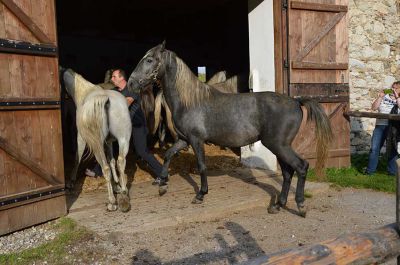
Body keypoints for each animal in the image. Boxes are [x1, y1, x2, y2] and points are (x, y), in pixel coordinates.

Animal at [61, 67, 131, 210]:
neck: (84, 93)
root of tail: (106, 100)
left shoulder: (81, 137)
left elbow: (77, 157)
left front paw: (71, 182)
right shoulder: (109, 142)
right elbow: (112, 161)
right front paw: (117, 185)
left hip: (97, 144)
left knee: (105, 168)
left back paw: (111, 202)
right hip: (123, 139)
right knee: (121, 161)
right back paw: (124, 192)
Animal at [127, 41, 332, 214]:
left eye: (149, 59)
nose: (131, 83)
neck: (191, 101)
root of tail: (296, 102)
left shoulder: (196, 140)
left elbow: (201, 166)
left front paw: (201, 194)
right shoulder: (184, 140)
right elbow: (168, 155)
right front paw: (162, 183)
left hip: (278, 145)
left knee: (301, 167)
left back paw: (300, 205)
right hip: (279, 147)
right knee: (288, 173)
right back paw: (278, 205)